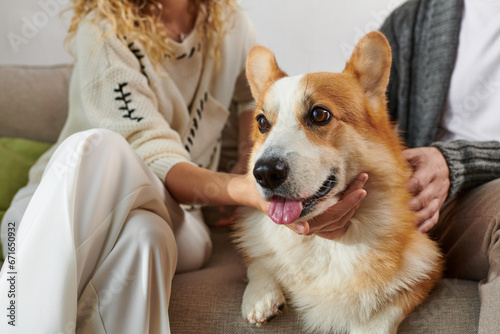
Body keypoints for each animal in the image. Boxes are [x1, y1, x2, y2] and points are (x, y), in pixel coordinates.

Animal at [234, 31, 442, 334]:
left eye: (319, 114)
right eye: (262, 122)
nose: (265, 173)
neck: (322, 243)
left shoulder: (427, 267)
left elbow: (383, 313)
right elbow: (258, 262)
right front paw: (261, 297)